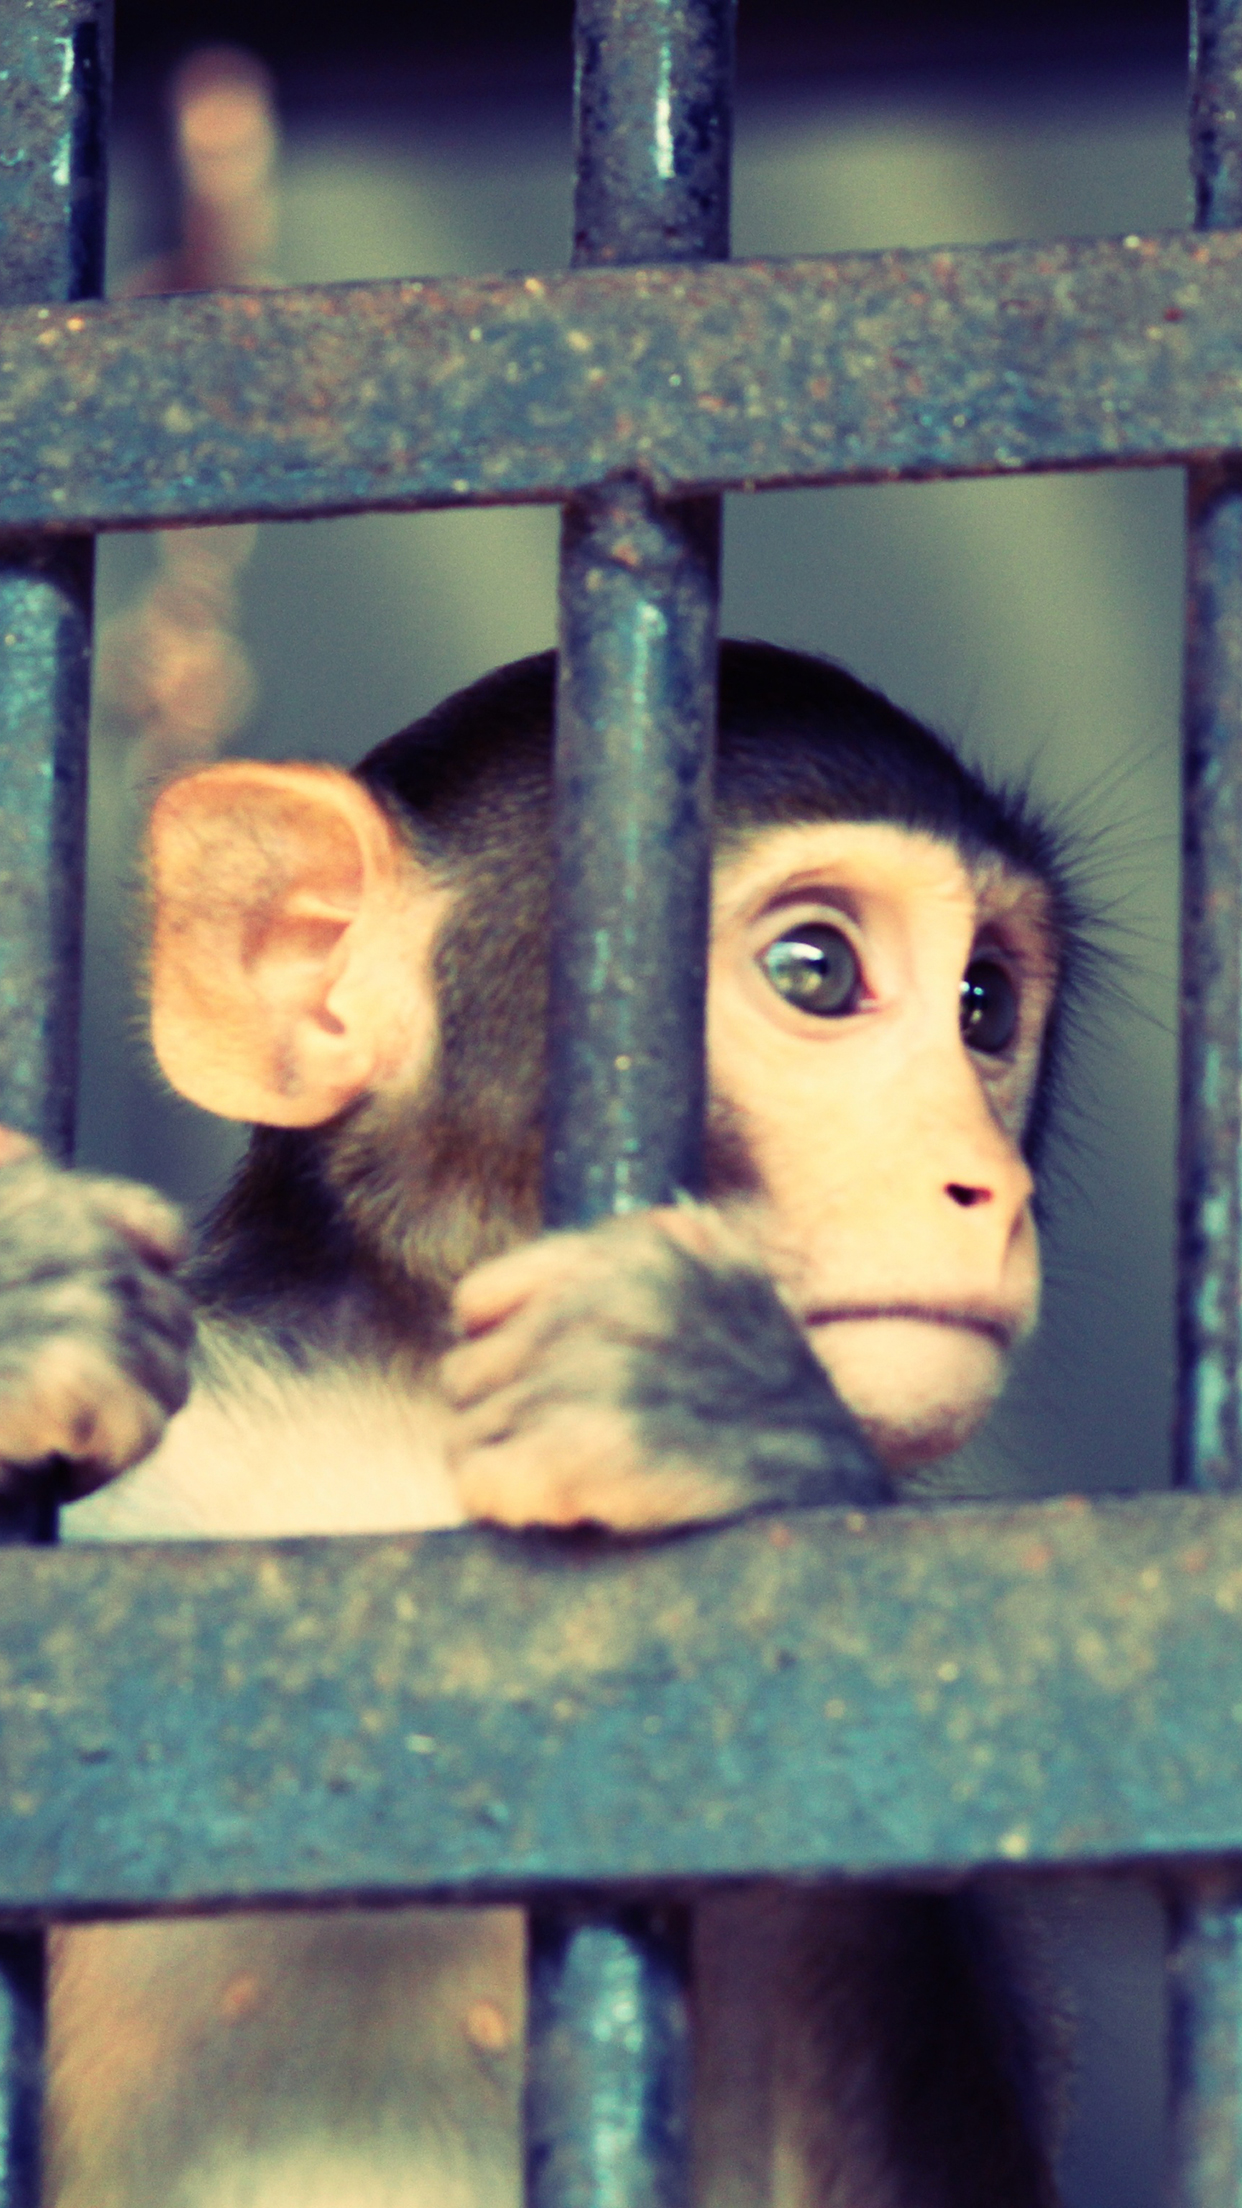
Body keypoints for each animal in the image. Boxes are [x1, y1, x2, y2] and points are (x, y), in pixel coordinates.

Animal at [0, 641, 1077, 2207]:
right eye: (816, 972)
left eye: (986, 1005)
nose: (986, 1186)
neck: (403, 1460)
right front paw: (29, 1300)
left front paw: (723, 1417)